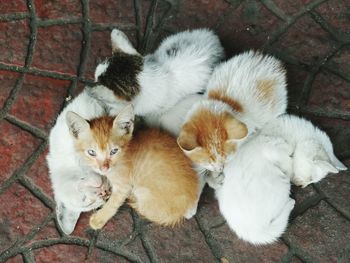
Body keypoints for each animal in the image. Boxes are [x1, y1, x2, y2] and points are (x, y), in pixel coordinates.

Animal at [65, 105, 200, 231]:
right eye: (91, 152)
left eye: (114, 151)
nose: (104, 168)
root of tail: (179, 213)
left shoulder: (124, 185)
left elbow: (114, 202)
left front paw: (99, 219)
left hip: (143, 190)